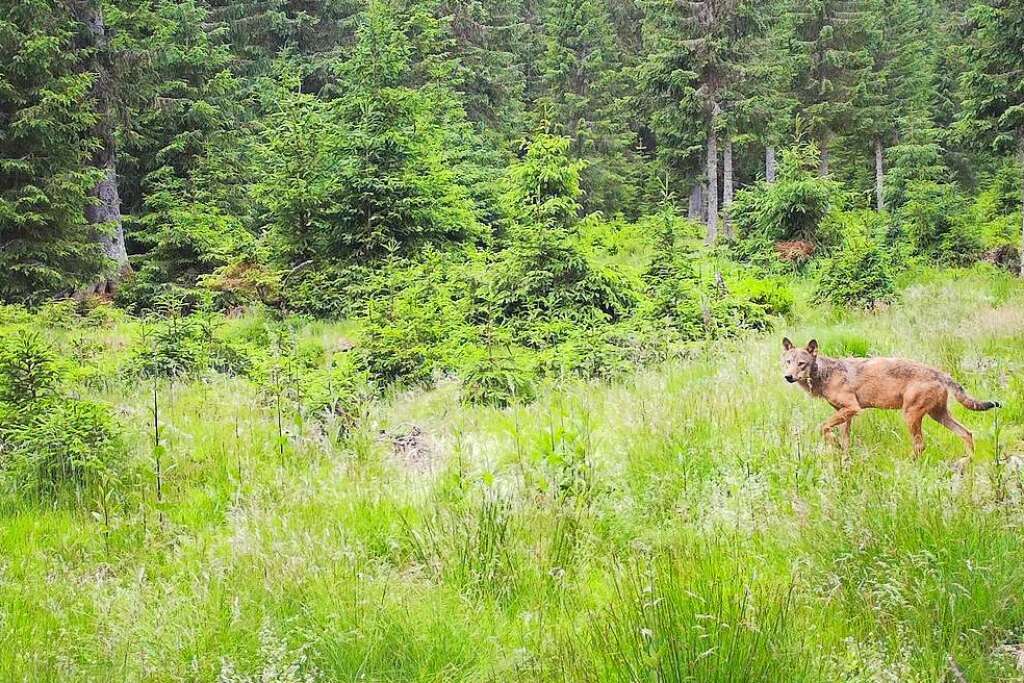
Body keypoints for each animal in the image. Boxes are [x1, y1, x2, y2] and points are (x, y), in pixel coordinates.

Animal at [778, 337, 995, 456]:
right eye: (788, 362)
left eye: (802, 364)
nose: (788, 377)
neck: (825, 374)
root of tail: (940, 373)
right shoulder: (845, 413)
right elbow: (845, 440)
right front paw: (843, 456)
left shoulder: (852, 408)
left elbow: (822, 427)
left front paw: (835, 445)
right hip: (938, 415)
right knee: (967, 433)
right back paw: (966, 462)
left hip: (910, 416)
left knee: (920, 445)